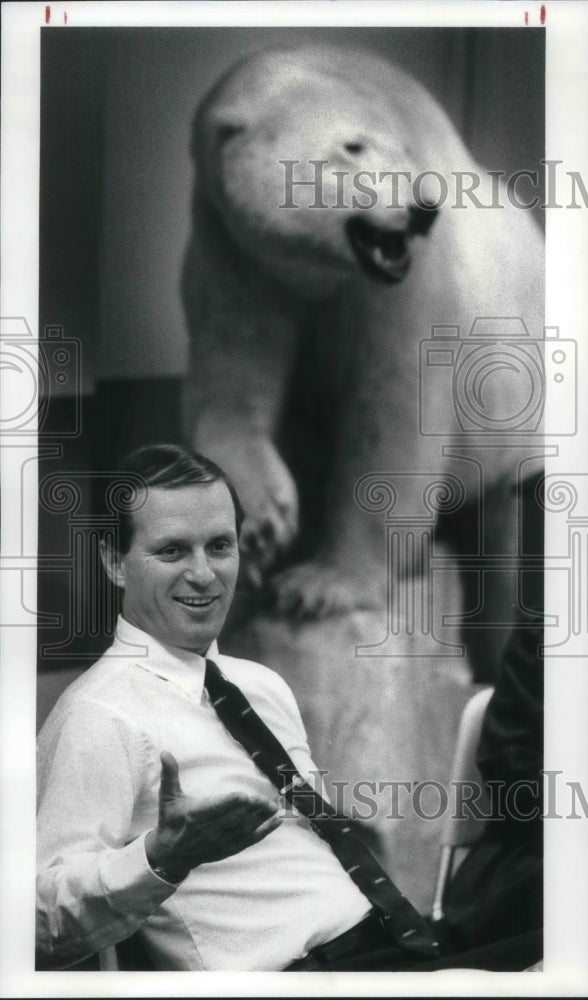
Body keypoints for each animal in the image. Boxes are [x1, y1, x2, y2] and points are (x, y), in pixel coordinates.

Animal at [181, 45, 544, 672]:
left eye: (406, 152)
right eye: (353, 147)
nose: (423, 208)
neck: (318, 271)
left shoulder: (406, 288)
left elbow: (391, 413)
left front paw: (317, 587)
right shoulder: (233, 255)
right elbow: (230, 385)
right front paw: (264, 525)